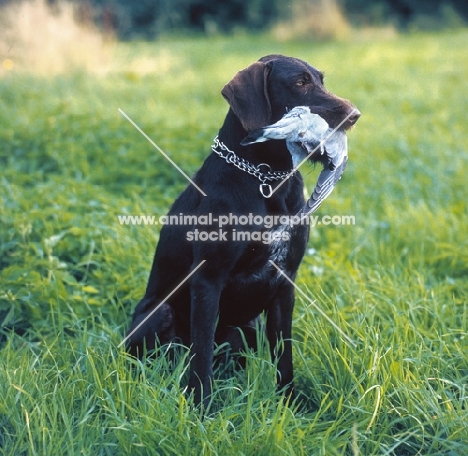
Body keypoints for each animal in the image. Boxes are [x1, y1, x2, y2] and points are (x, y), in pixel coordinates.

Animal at [126, 55, 360, 408]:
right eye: (300, 82)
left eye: (321, 80)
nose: (354, 114)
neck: (265, 178)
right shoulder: (208, 280)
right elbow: (201, 354)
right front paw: (202, 407)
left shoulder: (285, 284)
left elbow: (284, 355)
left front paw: (289, 403)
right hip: (158, 311)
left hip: (249, 326)